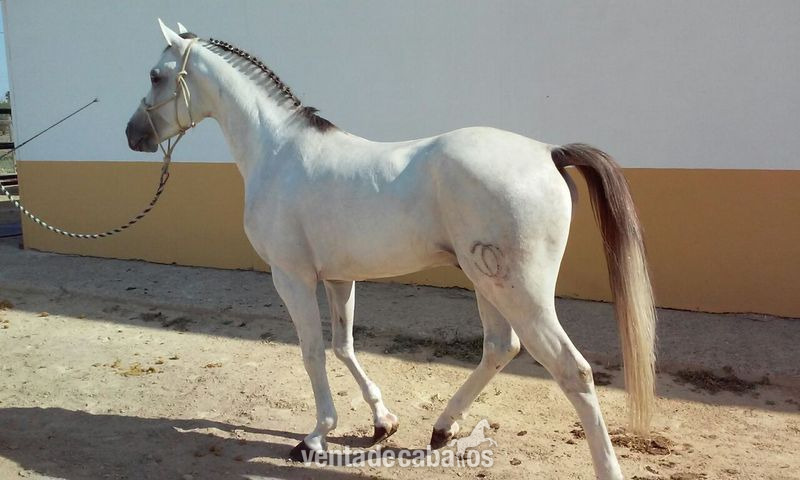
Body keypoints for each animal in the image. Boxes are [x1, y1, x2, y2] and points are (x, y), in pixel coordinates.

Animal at [125, 20, 656, 480]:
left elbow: (312, 351)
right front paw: (382, 422)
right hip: (489, 283)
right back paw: (443, 428)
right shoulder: (340, 278)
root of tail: (547, 152)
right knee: (499, 348)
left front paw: (315, 438)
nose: (133, 135)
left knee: (572, 371)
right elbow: (342, 345)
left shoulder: (291, 277)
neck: (278, 154)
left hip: (519, 293)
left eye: (155, 75)